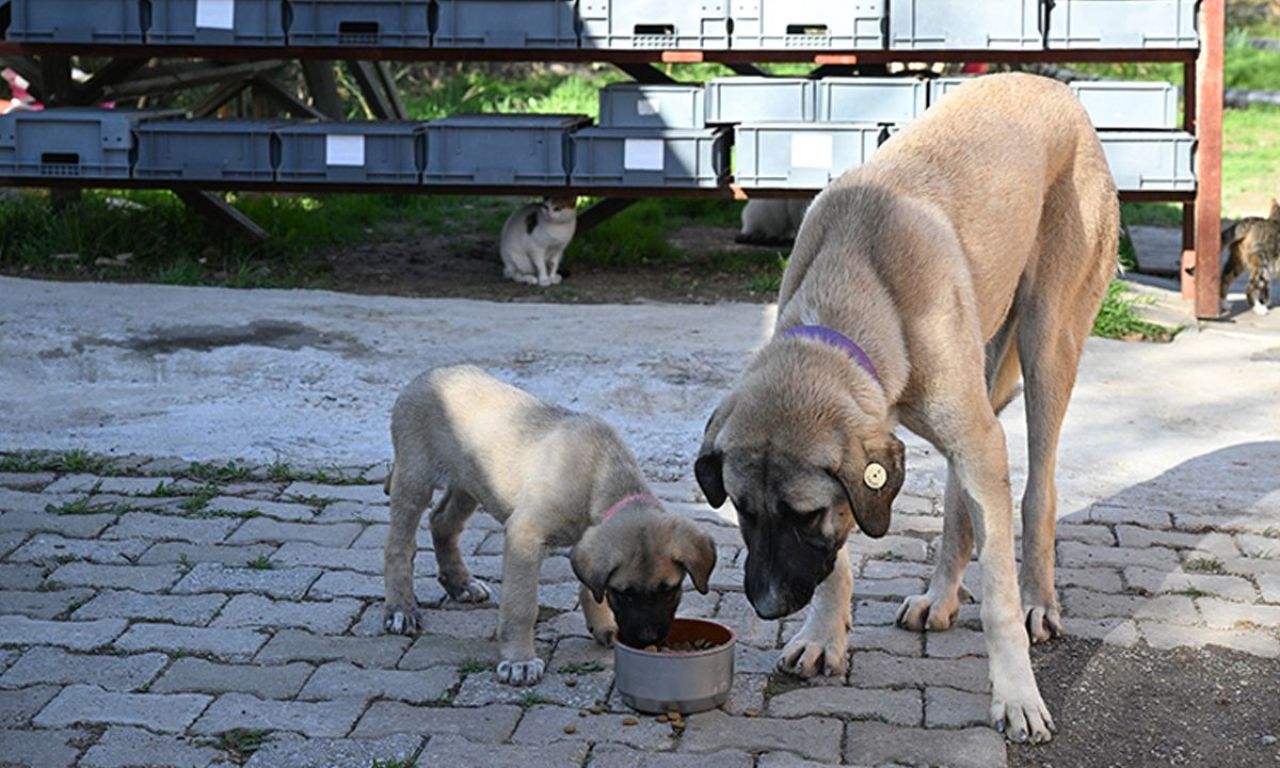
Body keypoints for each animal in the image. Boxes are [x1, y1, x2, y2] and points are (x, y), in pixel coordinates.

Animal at [378, 363, 721, 686]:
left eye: (670, 590)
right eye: (622, 592)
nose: (647, 640)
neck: (600, 473)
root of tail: (426, 375)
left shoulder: (587, 539)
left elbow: (589, 586)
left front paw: (604, 626)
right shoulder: (524, 534)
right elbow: (521, 605)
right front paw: (519, 661)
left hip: (469, 483)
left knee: (442, 522)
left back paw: (460, 583)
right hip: (415, 477)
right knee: (399, 546)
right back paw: (401, 609)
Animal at [696, 73, 1116, 742]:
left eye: (803, 515)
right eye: (742, 510)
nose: (765, 606)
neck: (859, 279)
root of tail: (1051, 86)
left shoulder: (976, 440)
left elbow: (996, 598)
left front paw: (1017, 695)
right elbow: (840, 562)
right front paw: (823, 635)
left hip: (1047, 343)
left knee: (1037, 492)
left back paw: (1038, 601)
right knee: (960, 507)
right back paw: (940, 597)